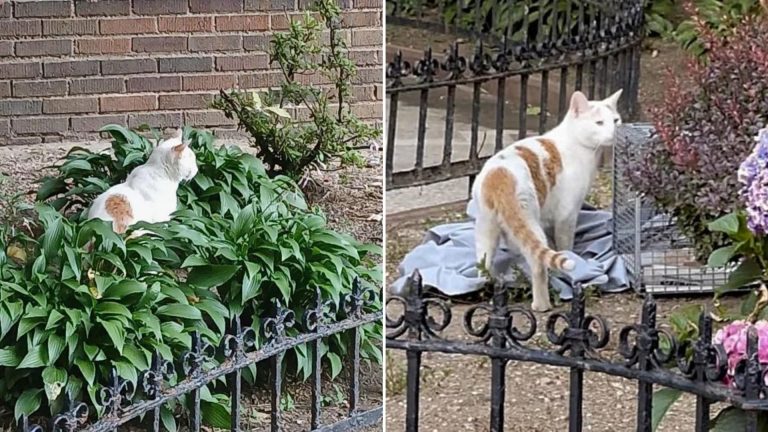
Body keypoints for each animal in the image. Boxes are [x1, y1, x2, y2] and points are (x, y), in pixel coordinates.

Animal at [474, 88, 624, 310]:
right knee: (537, 262)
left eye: (616, 120)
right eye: (599, 123)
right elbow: (565, 245)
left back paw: (488, 288)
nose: (614, 132)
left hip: (486, 227)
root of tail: (499, 175)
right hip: (529, 219)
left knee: (483, 261)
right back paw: (542, 304)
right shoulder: (567, 215)